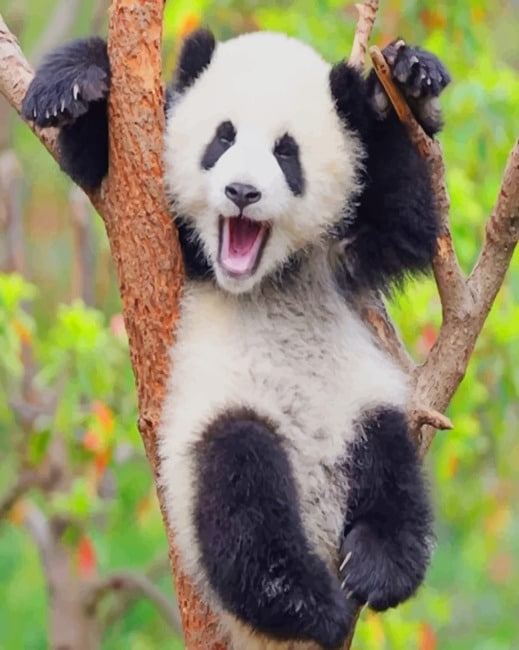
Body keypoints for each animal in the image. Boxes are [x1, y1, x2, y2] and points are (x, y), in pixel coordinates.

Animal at [23, 28, 450, 650]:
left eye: (286, 152)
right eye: (221, 138)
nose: (242, 192)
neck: (264, 277)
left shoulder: (345, 253)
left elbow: (408, 220)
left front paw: (407, 80)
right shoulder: (170, 235)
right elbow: (105, 166)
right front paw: (72, 85)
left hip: (357, 410)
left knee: (392, 470)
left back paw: (374, 566)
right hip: (213, 429)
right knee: (239, 489)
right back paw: (304, 601)